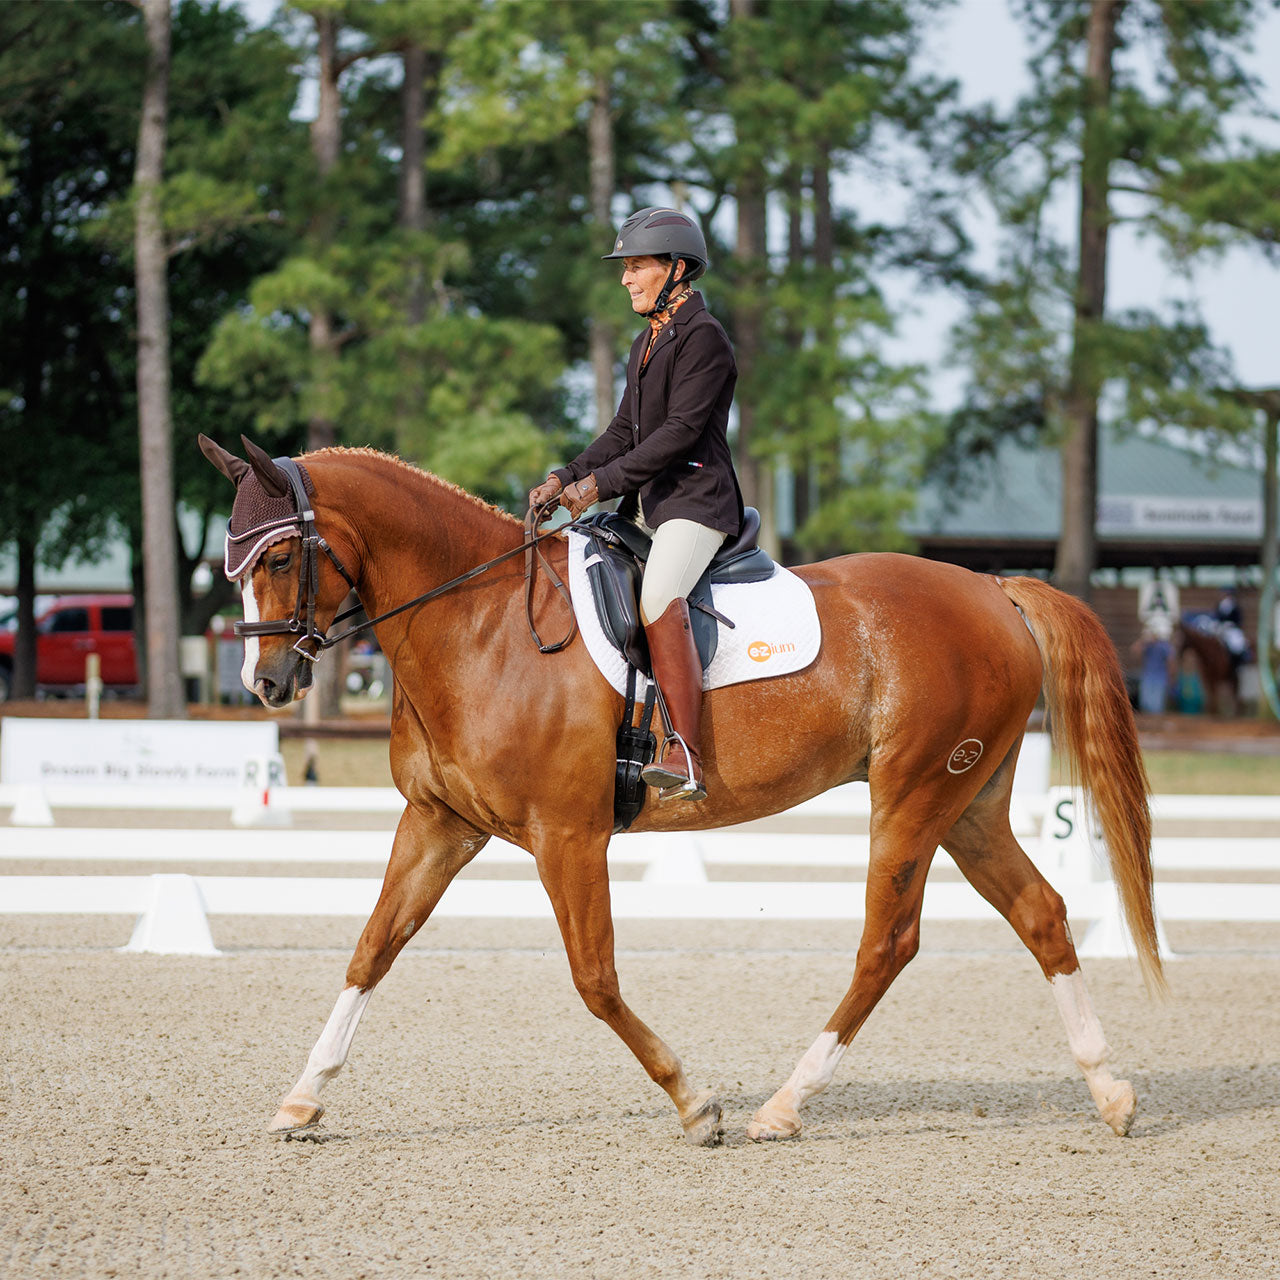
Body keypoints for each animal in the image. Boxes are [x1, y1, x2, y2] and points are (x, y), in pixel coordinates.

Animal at [199, 434, 1164, 1146]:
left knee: (888, 942)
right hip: (967, 804)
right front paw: (301, 1099)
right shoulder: (439, 824)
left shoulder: (568, 835)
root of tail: (994, 589)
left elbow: (594, 978)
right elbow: (371, 950)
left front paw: (696, 1104)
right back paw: (1112, 1092)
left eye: (279, 556)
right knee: (1041, 913)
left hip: (914, 796)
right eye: (231, 564)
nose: (266, 684)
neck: (479, 624)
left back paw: (784, 1106)